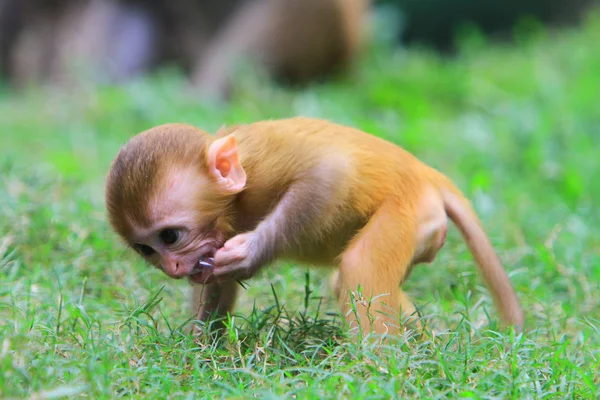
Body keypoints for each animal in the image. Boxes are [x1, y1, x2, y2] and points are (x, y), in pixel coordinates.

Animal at [105, 117, 524, 336]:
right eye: (146, 250)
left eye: (170, 236)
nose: (173, 268)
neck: (235, 202)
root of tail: (428, 175)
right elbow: (216, 287)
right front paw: (197, 353)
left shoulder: (264, 168)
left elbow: (329, 173)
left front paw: (253, 251)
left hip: (410, 210)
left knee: (360, 266)